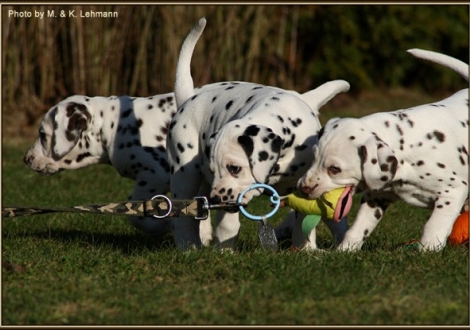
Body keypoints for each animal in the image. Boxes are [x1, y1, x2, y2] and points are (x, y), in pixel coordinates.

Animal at [23, 85, 218, 237]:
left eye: (43, 135)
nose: (26, 159)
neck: (113, 125)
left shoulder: (154, 177)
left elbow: (136, 216)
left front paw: (163, 226)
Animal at [166, 17, 348, 250]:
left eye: (234, 168)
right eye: (220, 169)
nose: (216, 200)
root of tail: (189, 97)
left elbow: (303, 220)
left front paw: (305, 249)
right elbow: (227, 225)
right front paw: (225, 251)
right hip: (185, 173)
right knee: (183, 216)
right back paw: (188, 246)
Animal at [300, 47, 468, 251]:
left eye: (335, 169)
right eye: (313, 158)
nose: (303, 189)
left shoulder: (453, 191)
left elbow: (434, 225)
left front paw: (427, 250)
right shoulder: (376, 197)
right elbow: (358, 228)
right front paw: (344, 250)